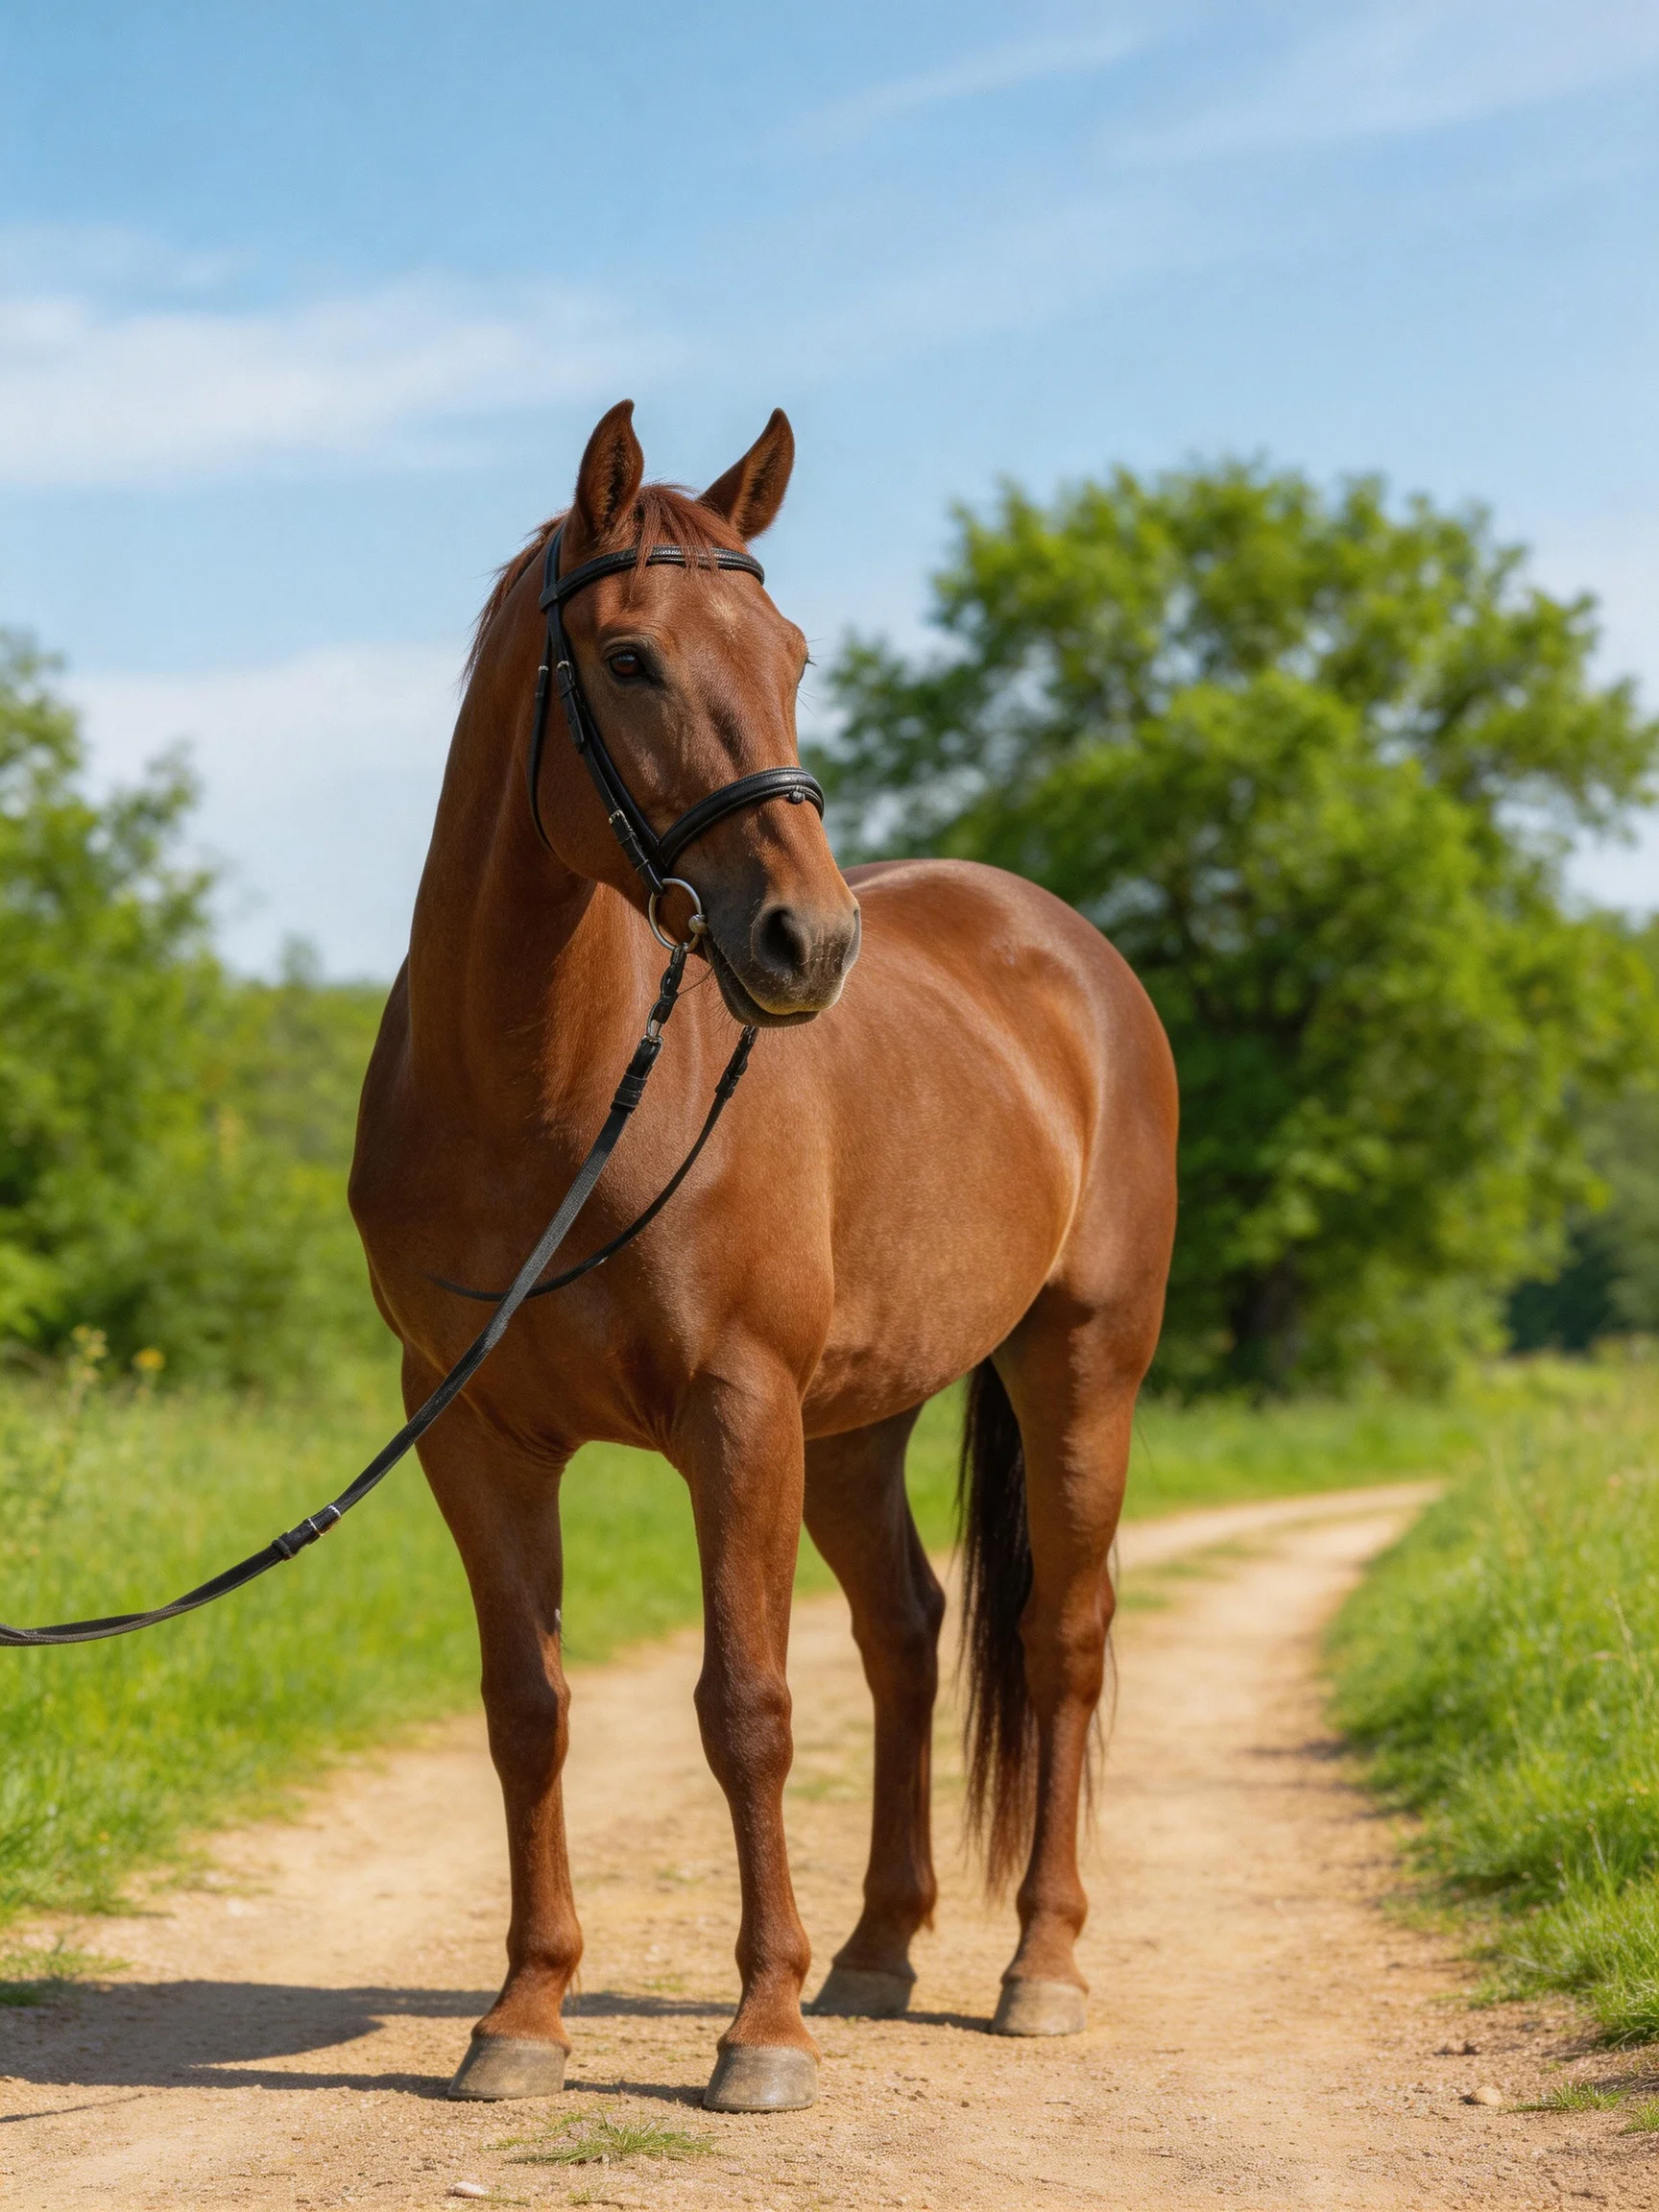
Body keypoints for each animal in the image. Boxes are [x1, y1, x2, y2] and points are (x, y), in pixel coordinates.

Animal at [350, 400, 1178, 2113]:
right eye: (631, 658)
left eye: (790, 651)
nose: (811, 942)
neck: (544, 1094)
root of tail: (1069, 950)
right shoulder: (470, 1430)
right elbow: (526, 1708)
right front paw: (523, 2014)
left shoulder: (736, 1415)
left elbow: (746, 1705)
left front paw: (762, 2033)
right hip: (855, 1424)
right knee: (910, 1633)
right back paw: (877, 1950)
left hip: (1079, 1367)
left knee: (1061, 1638)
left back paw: (1038, 1967)